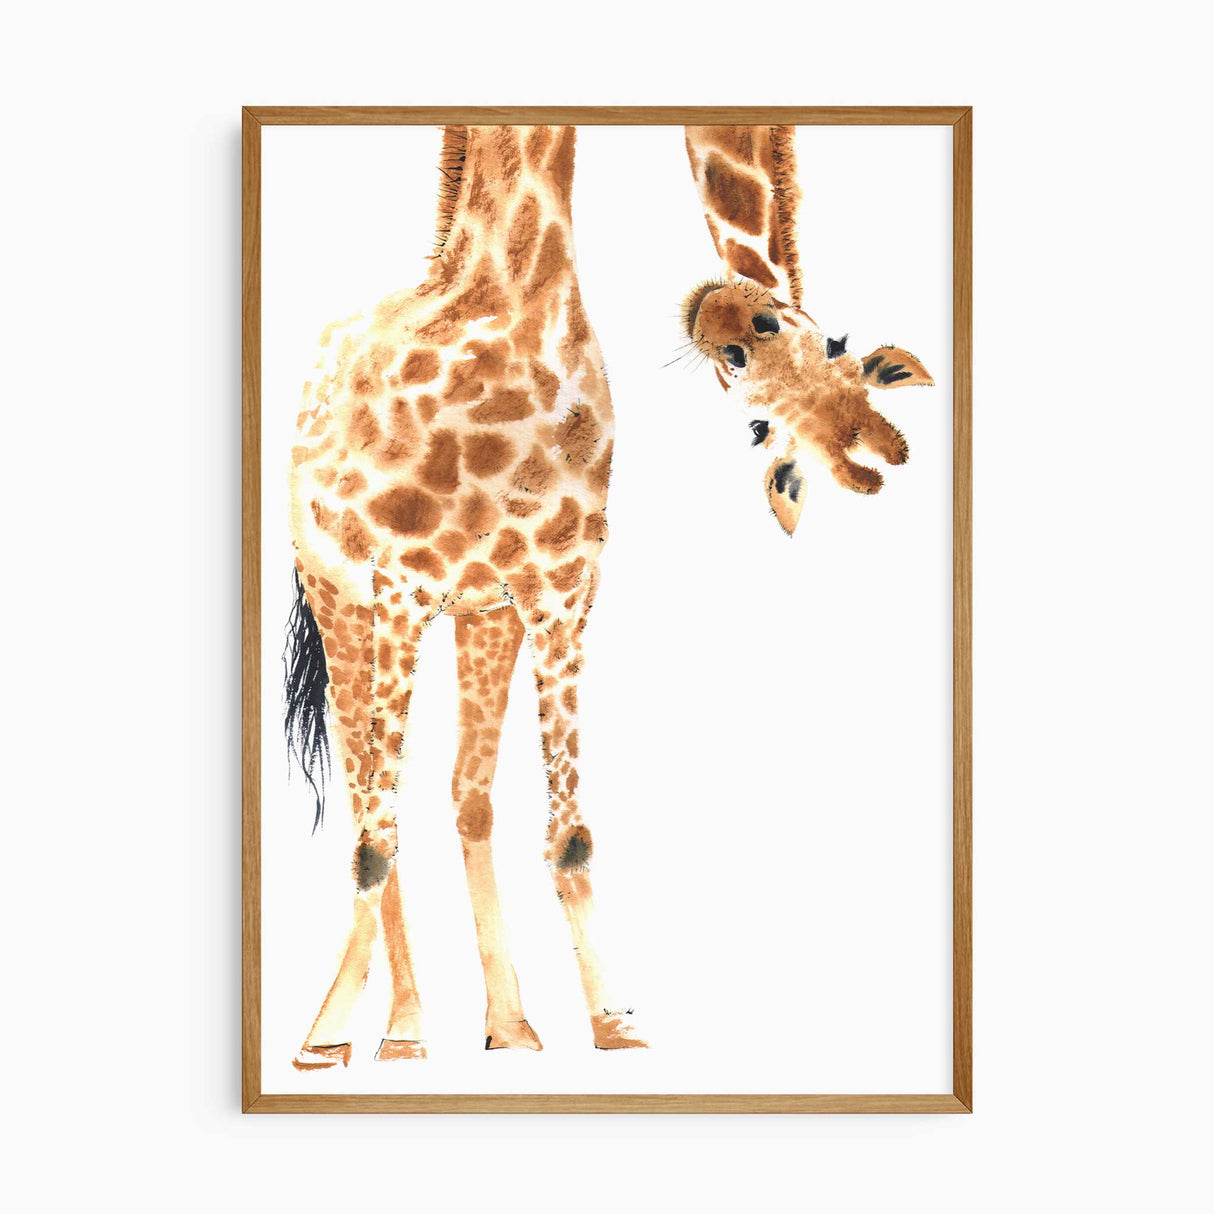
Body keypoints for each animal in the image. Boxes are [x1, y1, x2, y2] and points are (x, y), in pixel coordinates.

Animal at [285, 125, 639, 1067]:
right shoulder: (402, 586)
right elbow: (374, 838)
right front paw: (326, 1036)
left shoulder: (561, 587)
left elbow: (571, 832)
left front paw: (614, 1020)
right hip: (343, 605)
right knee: (368, 796)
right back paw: (396, 1028)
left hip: (481, 617)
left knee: (463, 793)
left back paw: (506, 1024)